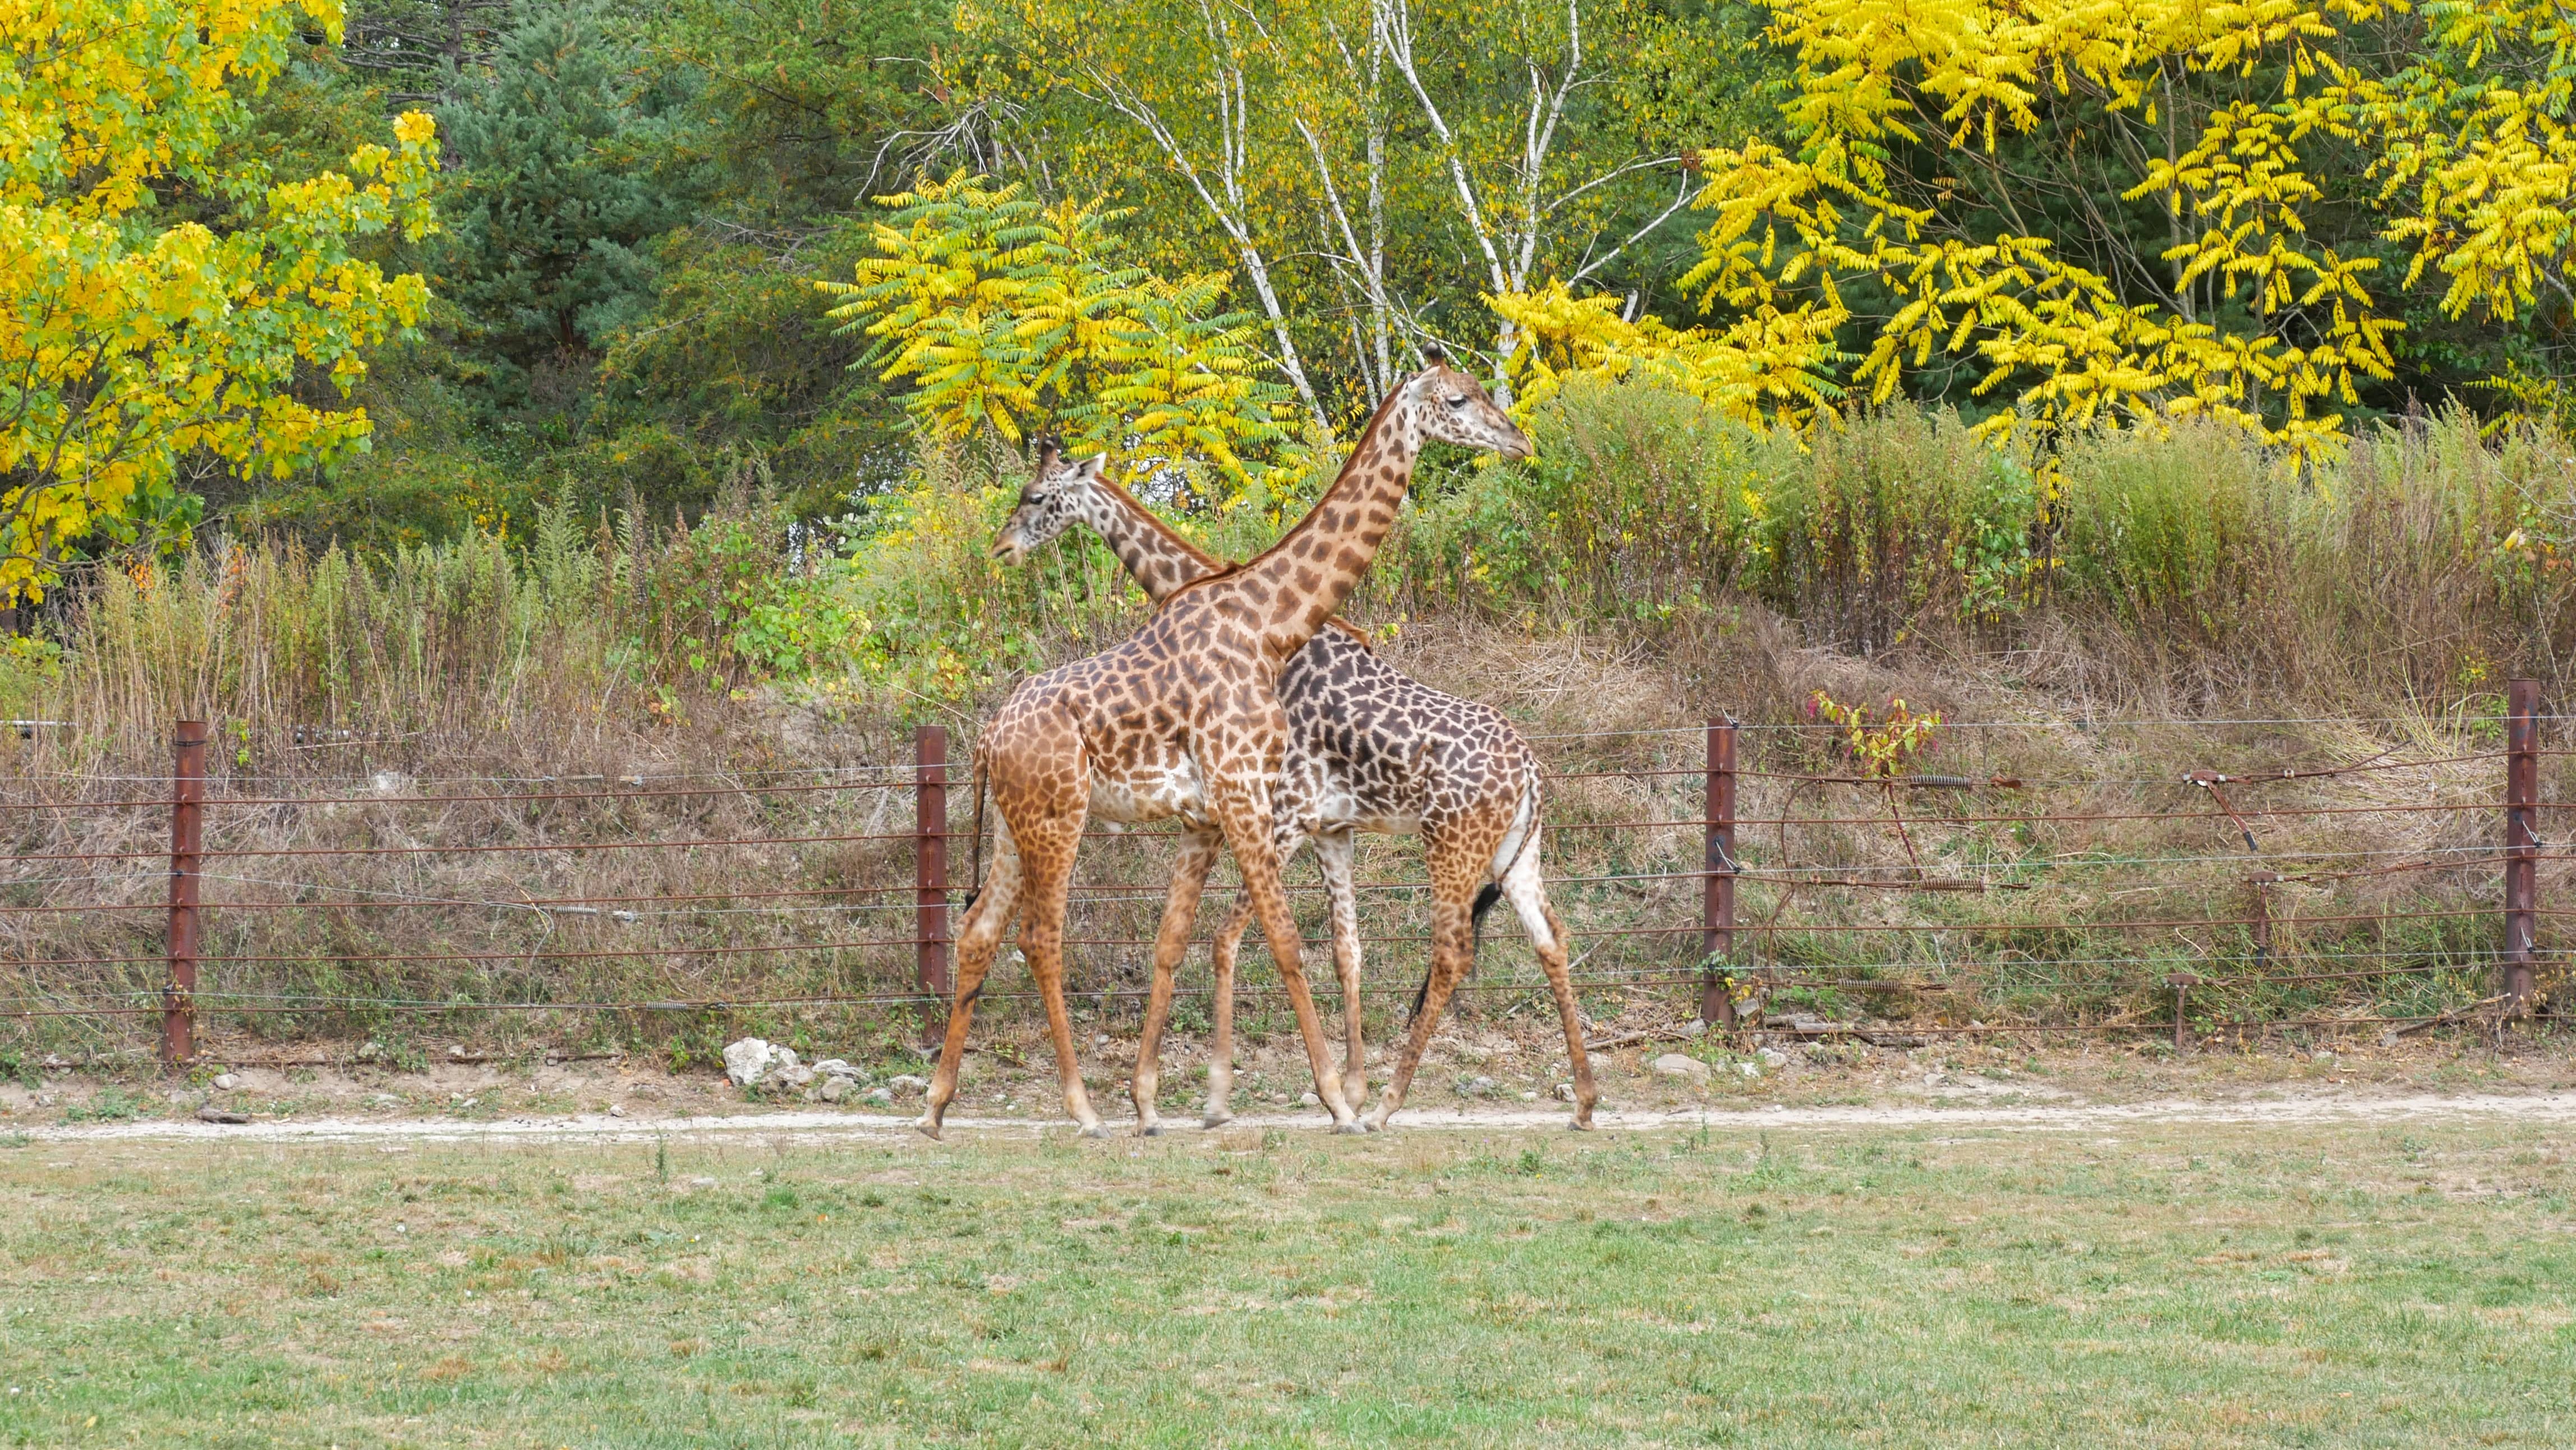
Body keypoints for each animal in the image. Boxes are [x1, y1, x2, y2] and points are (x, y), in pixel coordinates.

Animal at [922, 357, 1525, 1138]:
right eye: (1457, 399)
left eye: (1035, 497)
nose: (1516, 439)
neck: (1266, 621)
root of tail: (989, 736)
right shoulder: (1248, 794)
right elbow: (1278, 939)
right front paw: (1323, 1097)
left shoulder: (1226, 813)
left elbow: (1184, 940)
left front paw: (1159, 1101)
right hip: (1056, 819)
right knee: (1037, 936)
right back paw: (1080, 1109)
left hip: (1015, 824)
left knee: (979, 931)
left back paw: (940, 1105)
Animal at [994, 448, 1597, 1128]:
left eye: (1036, 496)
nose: (1004, 547)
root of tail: (1530, 768)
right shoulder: (1330, 826)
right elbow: (1345, 950)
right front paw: (1344, 1090)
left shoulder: (1283, 812)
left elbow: (1229, 939)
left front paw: (1230, 1096)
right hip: (1516, 850)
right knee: (1550, 939)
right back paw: (1581, 1100)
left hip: (1454, 844)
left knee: (1452, 951)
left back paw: (1391, 1103)